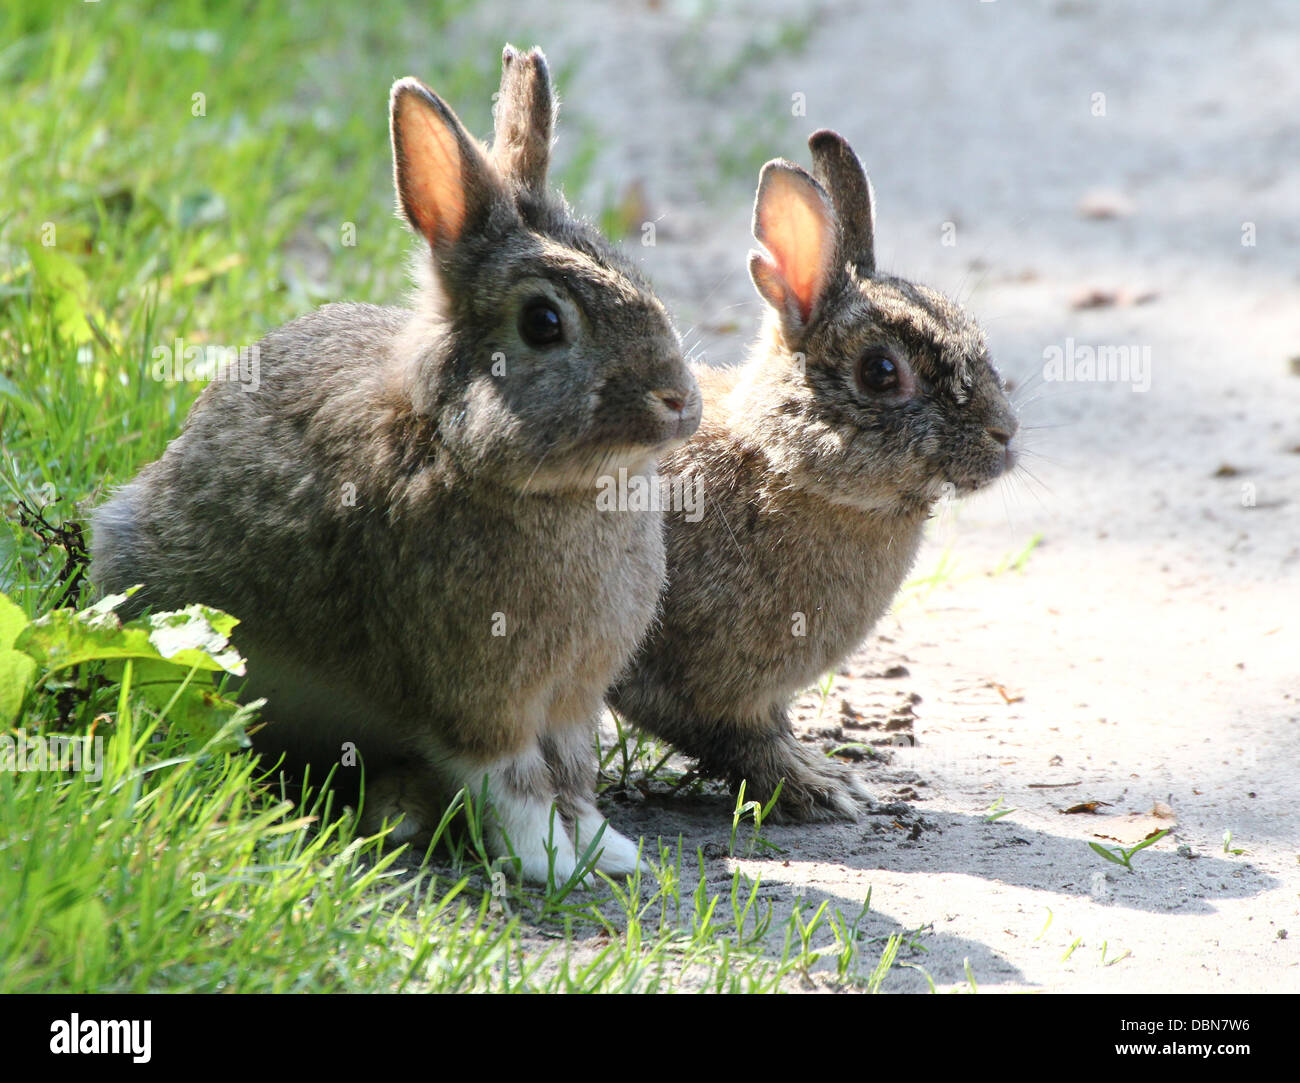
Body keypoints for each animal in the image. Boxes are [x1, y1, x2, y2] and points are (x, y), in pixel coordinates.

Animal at [89, 45, 701, 884]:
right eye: (544, 322)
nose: (680, 400)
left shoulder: (573, 702)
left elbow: (574, 776)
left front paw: (608, 852)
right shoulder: (478, 696)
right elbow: (512, 779)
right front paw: (546, 860)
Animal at [607, 130, 1018, 822]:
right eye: (880, 372)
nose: (1005, 434)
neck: (778, 465)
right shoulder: (698, 685)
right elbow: (739, 738)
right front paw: (819, 787)